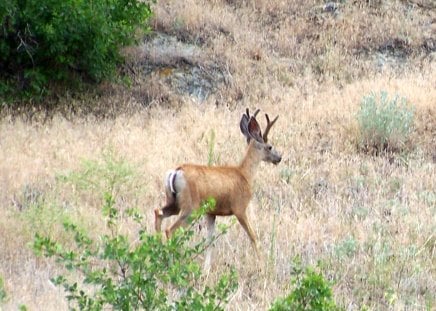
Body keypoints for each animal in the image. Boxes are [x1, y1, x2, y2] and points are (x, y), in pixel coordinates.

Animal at [155, 108, 282, 270]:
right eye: (270, 146)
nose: (279, 157)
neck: (245, 175)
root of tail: (176, 172)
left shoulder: (211, 213)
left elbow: (210, 241)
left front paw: (206, 269)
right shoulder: (239, 208)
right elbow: (253, 236)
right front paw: (262, 264)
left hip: (174, 202)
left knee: (158, 213)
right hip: (190, 206)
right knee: (170, 230)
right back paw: (171, 262)